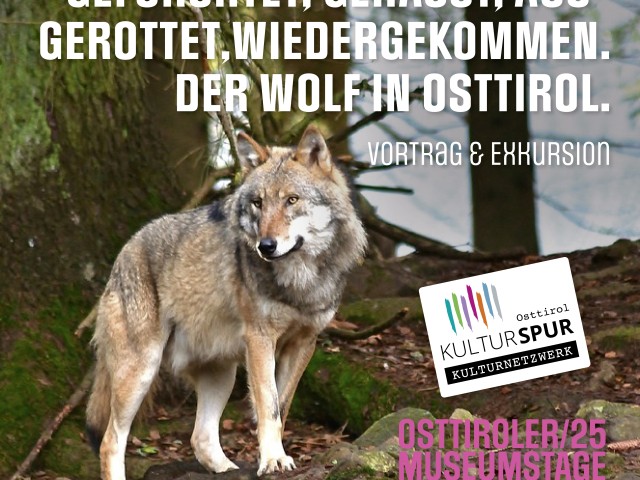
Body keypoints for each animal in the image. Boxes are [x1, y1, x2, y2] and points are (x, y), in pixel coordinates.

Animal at [85, 126, 367, 479]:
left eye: (292, 200)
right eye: (258, 203)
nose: (266, 246)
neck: (299, 281)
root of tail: (123, 253)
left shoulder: (304, 343)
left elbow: (281, 406)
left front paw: (275, 458)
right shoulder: (260, 339)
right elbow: (268, 406)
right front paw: (273, 460)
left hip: (221, 374)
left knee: (200, 438)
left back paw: (227, 468)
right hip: (141, 370)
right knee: (110, 441)